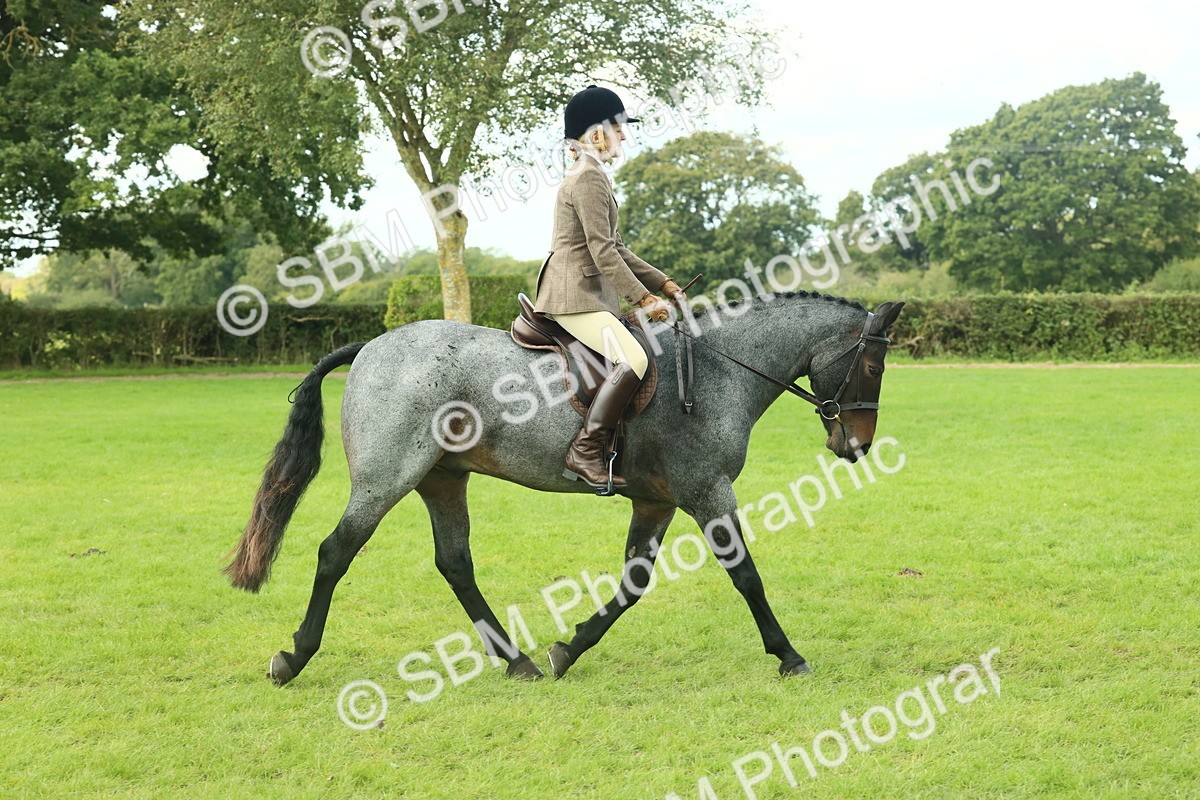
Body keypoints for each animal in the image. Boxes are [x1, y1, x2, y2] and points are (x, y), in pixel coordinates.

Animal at [223, 291, 905, 685]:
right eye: (873, 364)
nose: (857, 445)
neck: (718, 369)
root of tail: (371, 347)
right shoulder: (707, 492)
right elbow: (747, 576)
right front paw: (789, 656)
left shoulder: (656, 500)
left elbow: (632, 585)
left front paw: (567, 649)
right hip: (386, 479)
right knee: (335, 553)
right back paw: (293, 658)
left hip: (443, 479)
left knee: (455, 563)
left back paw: (518, 661)